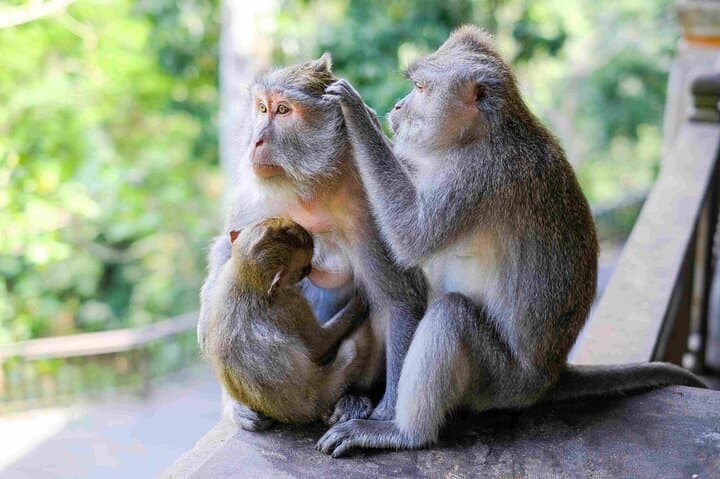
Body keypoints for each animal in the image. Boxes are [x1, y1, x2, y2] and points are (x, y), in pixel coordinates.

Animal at [204, 217, 375, 425]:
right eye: (304, 267)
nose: (311, 237)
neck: (247, 279)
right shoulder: (293, 304)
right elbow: (318, 345)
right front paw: (359, 302)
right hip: (324, 388)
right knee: (351, 350)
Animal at [317, 25, 706, 456]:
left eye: (420, 87)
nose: (399, 106)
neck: (478, 134)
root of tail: (550, 376)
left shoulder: (476, 176)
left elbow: (412, 236)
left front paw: (357, 114)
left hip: (501, 381)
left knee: (452, 316)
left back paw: (404, 433)